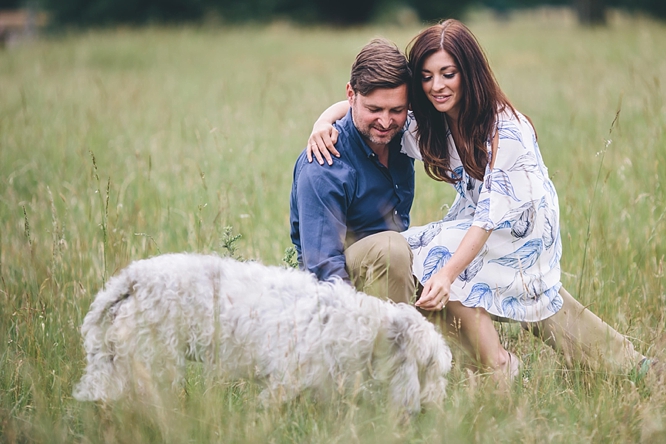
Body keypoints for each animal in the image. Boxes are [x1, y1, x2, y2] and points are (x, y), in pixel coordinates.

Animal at [74, 255, 452, 414]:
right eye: (431, 368)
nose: (435, 407)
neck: (367, 326)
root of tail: (131, 281)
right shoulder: (288, 377)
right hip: (152, 361)